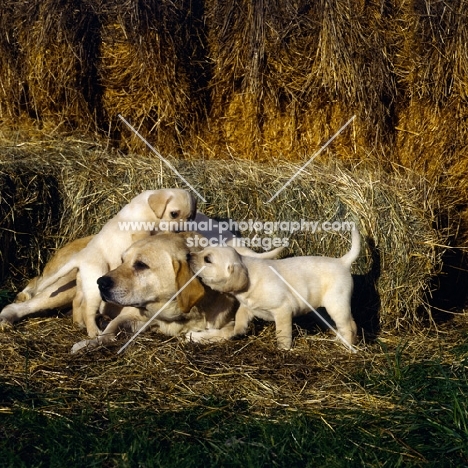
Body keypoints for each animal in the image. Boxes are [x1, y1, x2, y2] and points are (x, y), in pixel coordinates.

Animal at [188, 229, 360, 350]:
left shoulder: (283, 309)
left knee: (348, 326)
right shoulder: (247, 306)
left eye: (207, 260)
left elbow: (283, 333)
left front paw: (283, 349)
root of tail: (342, 262)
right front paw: (238, 332)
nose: (188, 255)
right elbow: (240, 316)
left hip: (336, 304)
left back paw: (346, 345)